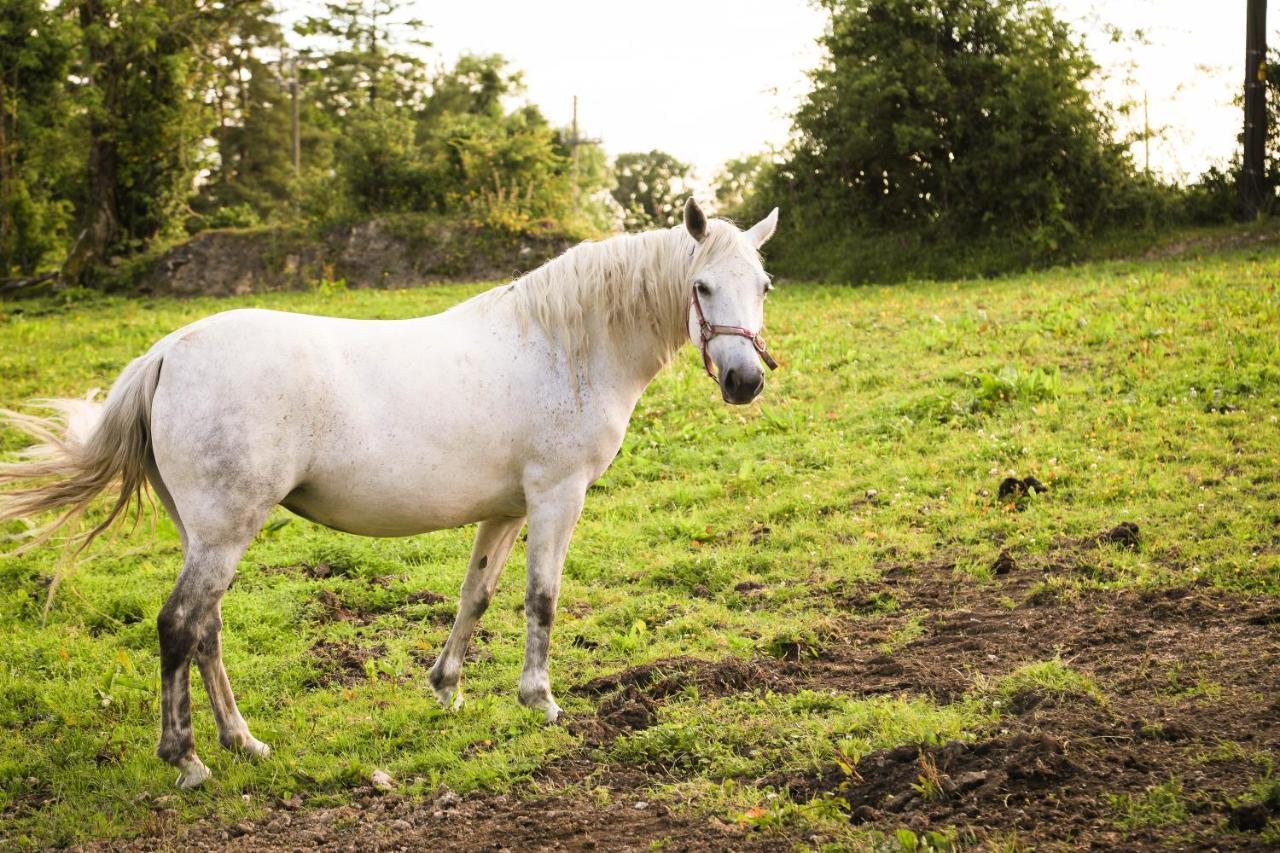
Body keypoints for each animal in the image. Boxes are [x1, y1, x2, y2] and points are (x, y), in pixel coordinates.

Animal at [0, 197, 778, 783]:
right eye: (702, 287)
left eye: (764, 286)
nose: (745, 381)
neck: (565, 347)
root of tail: (167, 351)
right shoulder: (558, 497)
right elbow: (542, 598)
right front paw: (540, 700)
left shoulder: (506, 510)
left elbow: (476, 595)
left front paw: (447, 687)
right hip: (224, 531)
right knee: (179, 626)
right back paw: (187, 759)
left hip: (208, 534)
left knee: (206, 630)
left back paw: (242, 741)